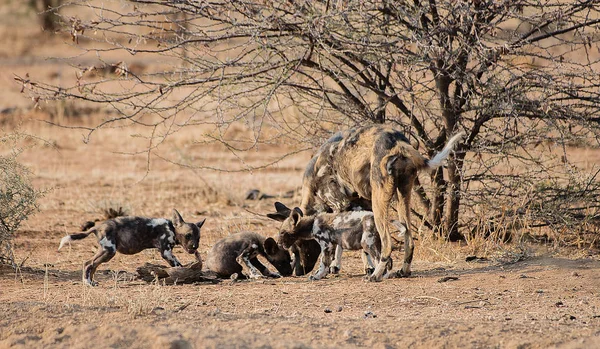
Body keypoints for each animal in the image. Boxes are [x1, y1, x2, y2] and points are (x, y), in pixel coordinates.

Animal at [58, 208, 205, 284]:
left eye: (198, 238)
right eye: (188, 235)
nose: (194, 247)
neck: (171, 228)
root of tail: (98, 227)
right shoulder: (166, 252)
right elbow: (178, 265)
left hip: (105, 252)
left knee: (91, 264)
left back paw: (91, 282)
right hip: (109, 251)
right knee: (89, 264)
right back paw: (88, 283)